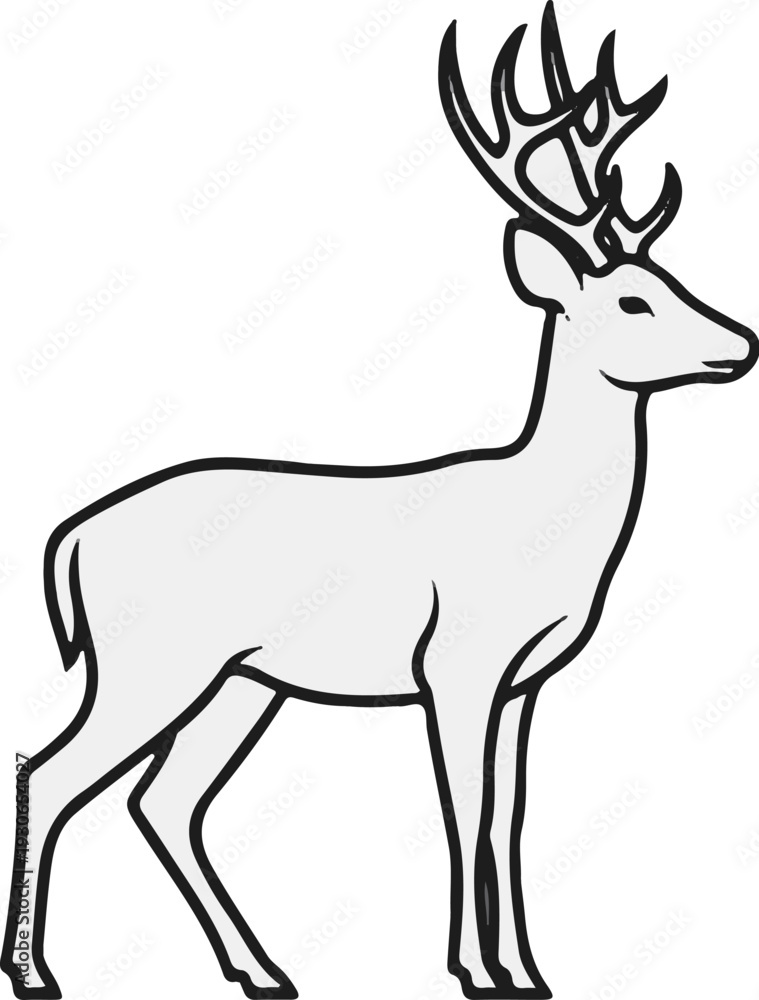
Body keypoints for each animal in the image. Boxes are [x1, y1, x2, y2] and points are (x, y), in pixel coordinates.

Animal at [3, 4, 756, 999]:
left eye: (673, 281)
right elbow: (464, 809)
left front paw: (528, 971)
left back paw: (263, 970)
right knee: (50, 771)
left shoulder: (523, 682)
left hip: (240, 681)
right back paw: (35, 972)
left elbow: (510, 817)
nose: (741, 343)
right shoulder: (457, 663)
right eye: (634, 301)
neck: (540, 519)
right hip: (149, 662)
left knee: (162, 799)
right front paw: (477, 971)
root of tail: (72, 539)